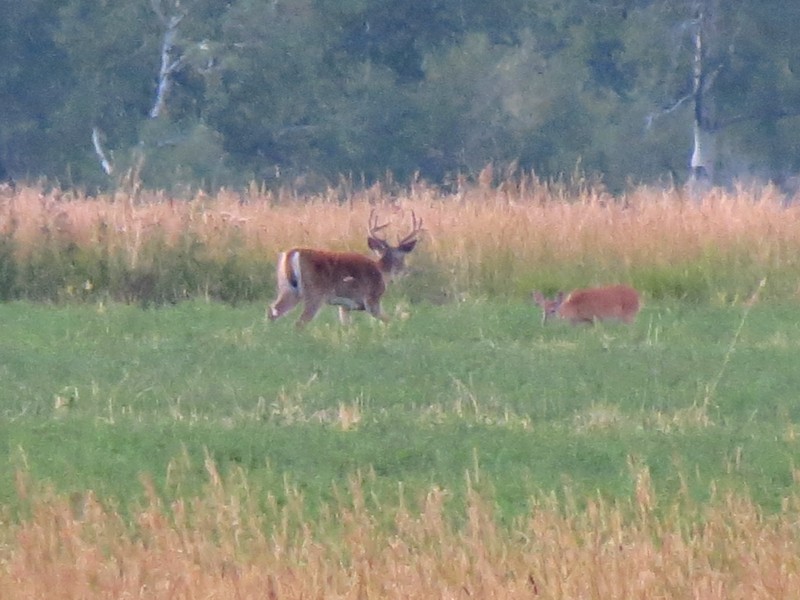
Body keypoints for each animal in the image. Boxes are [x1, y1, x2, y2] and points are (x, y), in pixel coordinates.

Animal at [266, 209, 422, 326]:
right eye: (401, 257)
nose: (404, 270)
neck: (381, 271)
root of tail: (293, 252)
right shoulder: (371, 299)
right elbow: (389, 320)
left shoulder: (345, 306)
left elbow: (346, 326)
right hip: (314, 291)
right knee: (300, 322)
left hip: (287, 289)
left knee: (273, 311)